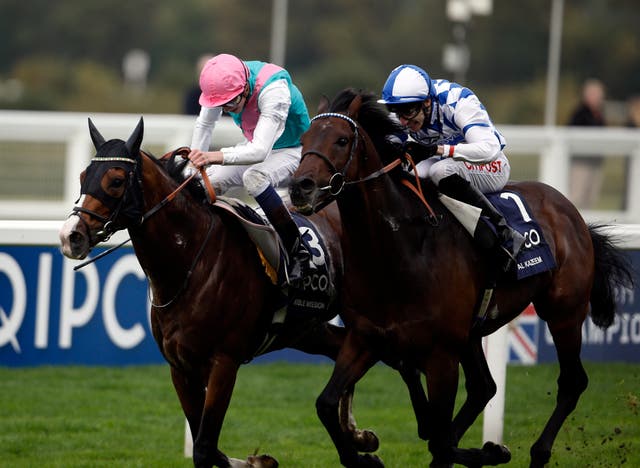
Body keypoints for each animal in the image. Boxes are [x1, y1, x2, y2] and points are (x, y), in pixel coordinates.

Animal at [60, 118, 392, 468]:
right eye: (83, 177)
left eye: (116, 180)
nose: (71, 236)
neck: (191, 262)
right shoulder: (180, 367)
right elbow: (207, 443)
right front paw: (258, 461)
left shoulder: (224, 362)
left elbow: (205, 446)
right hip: (304, 329)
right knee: (343, 349)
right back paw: (357, 436)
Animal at [290, 89, 636, 466]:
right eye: (304, 139)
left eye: (341, 140)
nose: (300, 188)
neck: (399, 249)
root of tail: (572, 214)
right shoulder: (366, 337)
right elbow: (326, 404)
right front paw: (363, 455)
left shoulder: (441, 354)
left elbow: (440, 441)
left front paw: (488, 449)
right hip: (472, 334)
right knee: (484, 388)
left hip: (564, 312)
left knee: (572, 382)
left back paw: (537, 452)